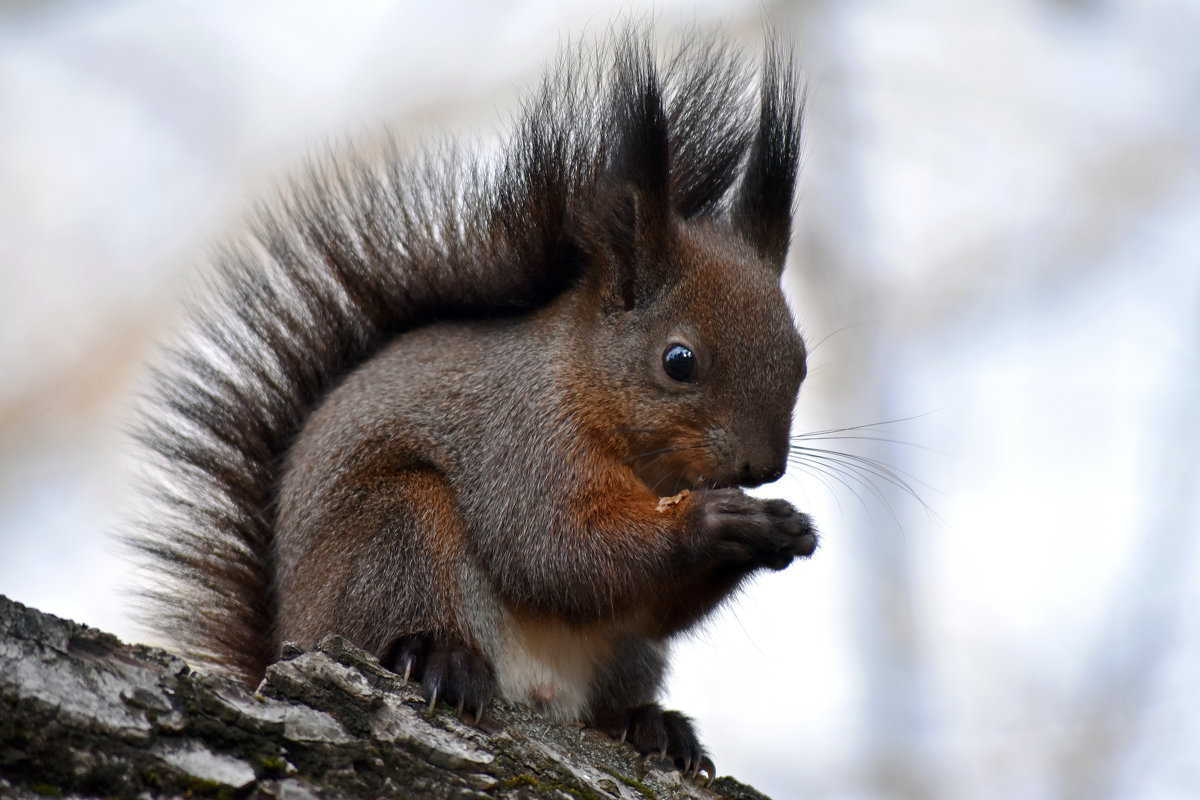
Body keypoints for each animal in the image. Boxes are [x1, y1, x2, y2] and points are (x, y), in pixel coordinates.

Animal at [129, 31, 816, 782]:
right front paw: (716, 522)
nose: (763, 469)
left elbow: (642, 604)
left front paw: (785, 529)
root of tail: (285, 638)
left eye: (802, 358)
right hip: (390, 533)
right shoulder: (524, 437)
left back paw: (648, 725)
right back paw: (440, 657)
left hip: (621, 659)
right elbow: (554, 549)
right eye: (679, 361)